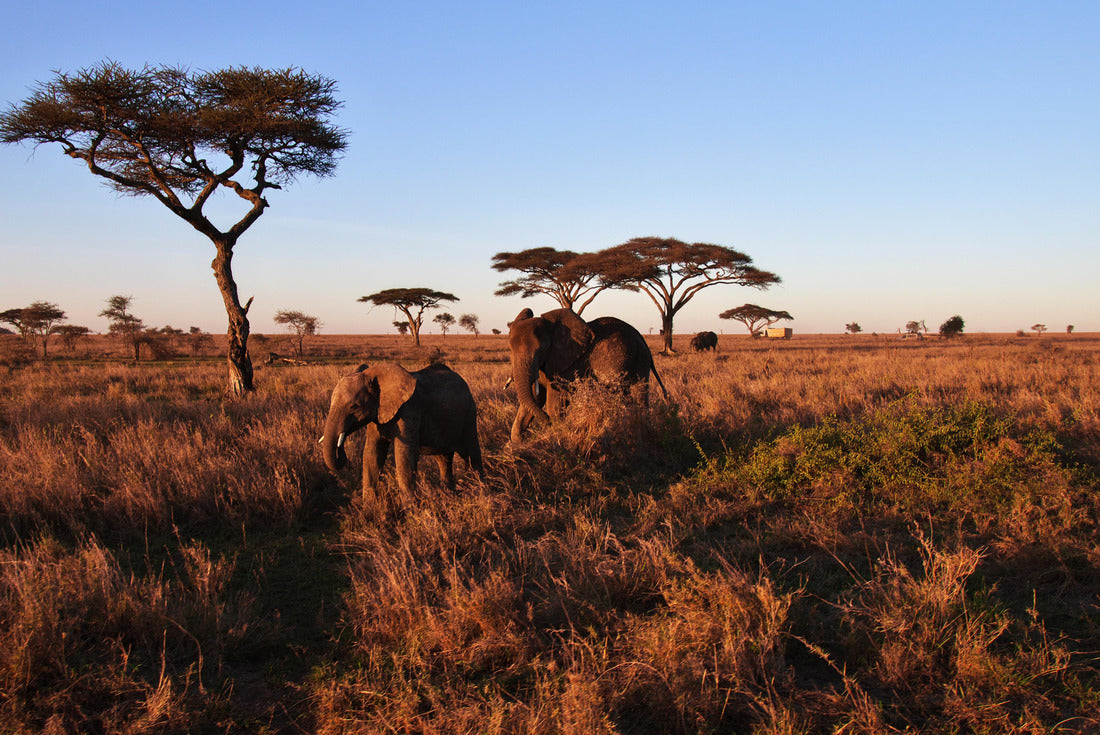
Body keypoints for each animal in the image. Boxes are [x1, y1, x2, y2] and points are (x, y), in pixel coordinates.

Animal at [320, 362, 483, 503]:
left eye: (354, 407)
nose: (342, 454)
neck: (374, 375)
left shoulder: (409, 411)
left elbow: (404, 455)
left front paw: (410, 509)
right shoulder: (376, 416)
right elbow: (372, 453)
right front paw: (369, 507)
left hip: (469, 412)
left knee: (471, 454)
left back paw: (479, 491)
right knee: (444, 459)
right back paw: (449, 495)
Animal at [507, 307, 669, 444]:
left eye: (540, 350)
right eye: (511, 349)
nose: (547, 423)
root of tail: (644, 342)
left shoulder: (565, 365)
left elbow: (554, 404)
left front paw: (555, 434)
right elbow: (534, 400)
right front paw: (516, 445)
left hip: (640, 361)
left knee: (639, 396)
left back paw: (642, 434)